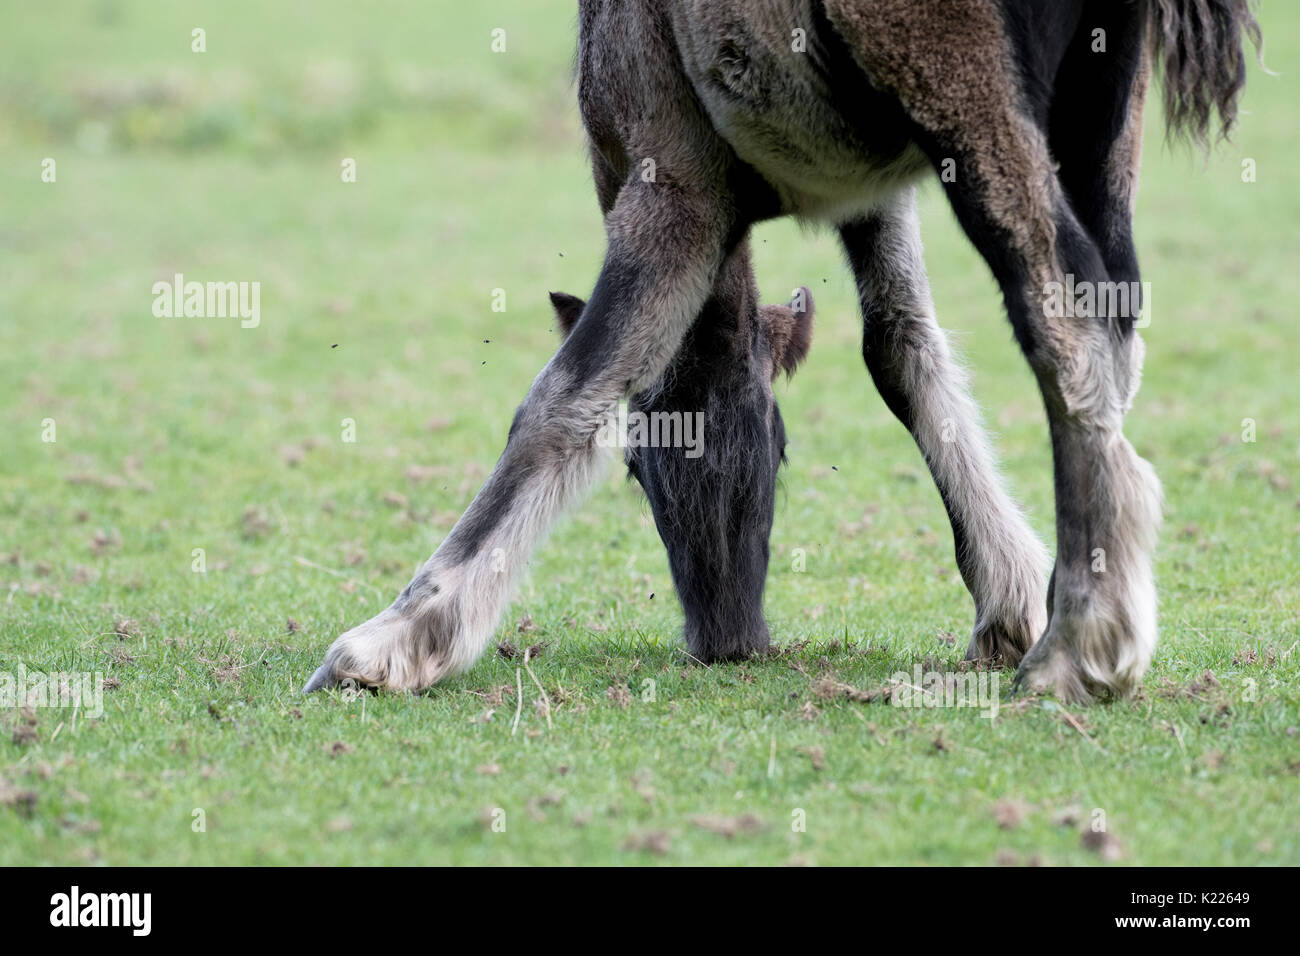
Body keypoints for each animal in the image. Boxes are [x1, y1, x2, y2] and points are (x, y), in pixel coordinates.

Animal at [304, 0, 1258, 702]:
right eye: (642, 471)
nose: (728, 641)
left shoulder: (673, 183)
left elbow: (569, 392)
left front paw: (396, 642)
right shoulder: (872, 193)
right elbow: (900, 347)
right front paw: (1011, 592)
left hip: (967, 88)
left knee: (1067, 322)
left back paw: (1080, 646)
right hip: (1099, 102)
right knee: (1110, 320)